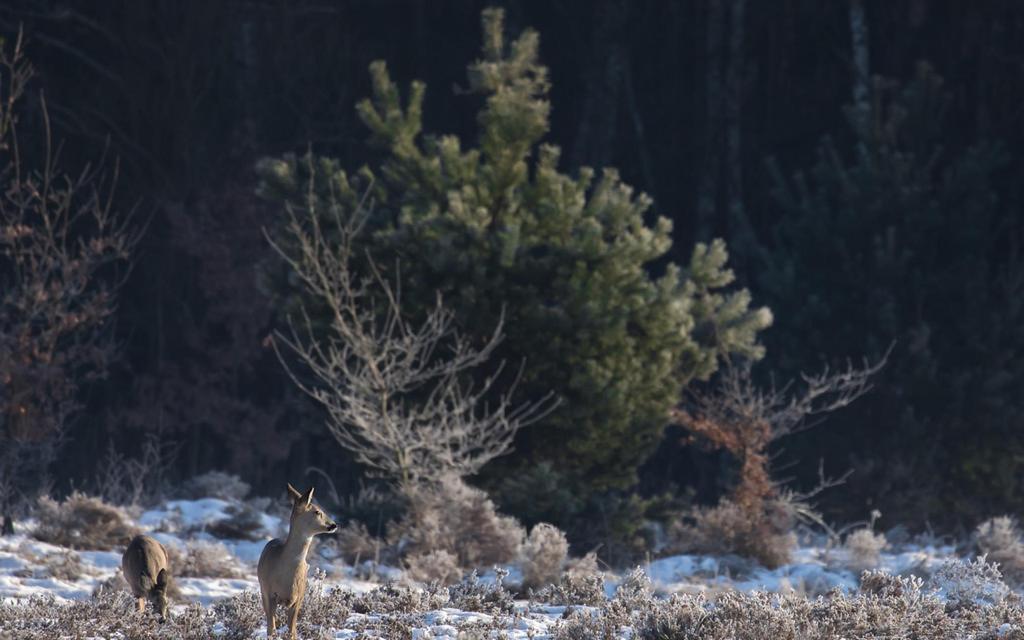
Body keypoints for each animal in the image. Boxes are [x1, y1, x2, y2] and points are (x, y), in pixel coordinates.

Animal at [258, 481, 337, 634]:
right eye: (317, 511)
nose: (333, 525)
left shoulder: (299, 597)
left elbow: (292, 630)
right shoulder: (269, 593)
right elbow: (271, 628)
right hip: (262, 589)